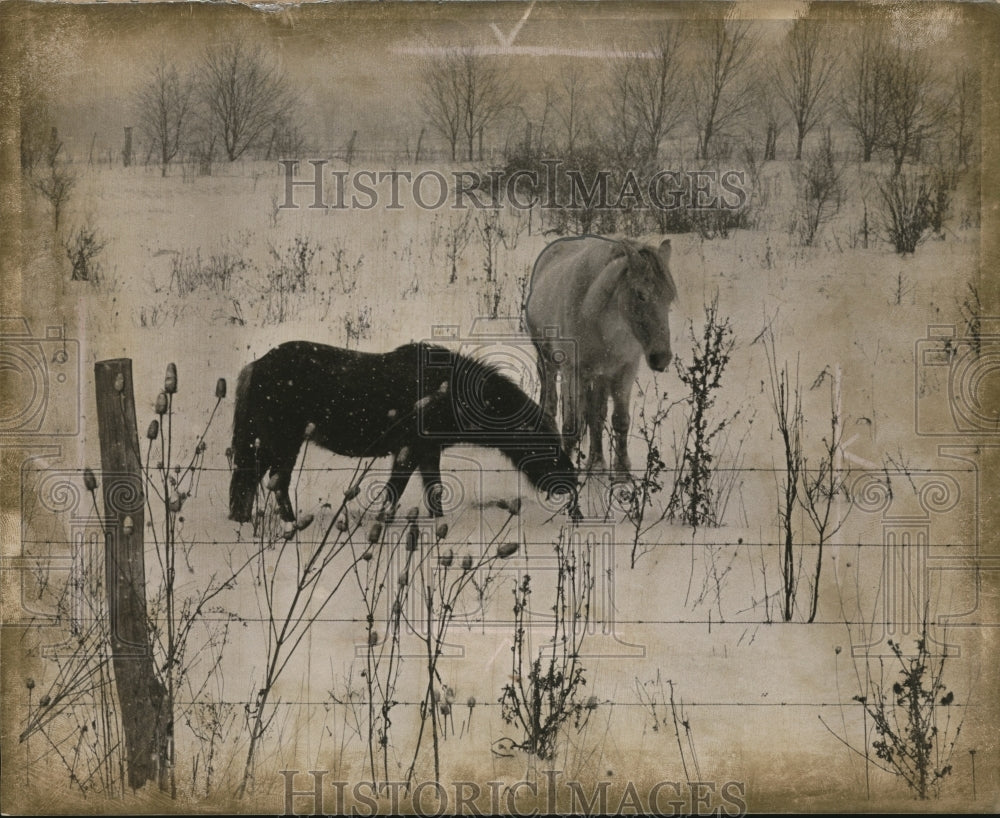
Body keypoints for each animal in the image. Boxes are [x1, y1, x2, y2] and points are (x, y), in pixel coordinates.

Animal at [228, 340, 580, 524]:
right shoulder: (410, 447)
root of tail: (251, 369)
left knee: (252, 481)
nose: (570, 479)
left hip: (270, 440)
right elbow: (395, 491)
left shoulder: (427, 451)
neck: (452, 397)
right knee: (269, 481)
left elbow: (433, 491)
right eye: (545, 442)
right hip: (282, 439)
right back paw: (286, 523)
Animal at [524, 233, 680, 474]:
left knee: (596, 414)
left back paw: (596, 461)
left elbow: (618, 420)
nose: (661, 357)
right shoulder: (574, 372)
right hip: (550, 360)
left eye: (669, 297)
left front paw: (621, 470)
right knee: (551, 402)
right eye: (640, 294)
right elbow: (572, 425)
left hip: (600, 376)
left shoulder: (624, 370)